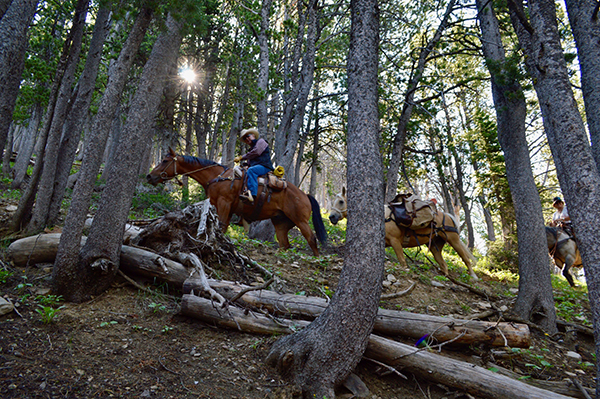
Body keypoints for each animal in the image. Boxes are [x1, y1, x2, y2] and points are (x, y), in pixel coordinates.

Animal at [146, 148, 328, 256]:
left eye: (165, 161)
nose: (149, 176)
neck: (217, 177)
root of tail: (304, 195)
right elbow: (221, 227)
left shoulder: (224, 204)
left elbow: (222, 227)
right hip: (281, 223)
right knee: (284, 244)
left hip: (300, 220)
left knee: (312, 239)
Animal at [328, 189, 478, 280]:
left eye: (341, 201)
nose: (331, 217)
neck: (384, 218)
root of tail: (446, 215)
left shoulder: (395, 242)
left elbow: (403, 262)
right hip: (435, 246)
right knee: (443, 264)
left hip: (454, 240)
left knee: (465, 258)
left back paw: (473, 276)